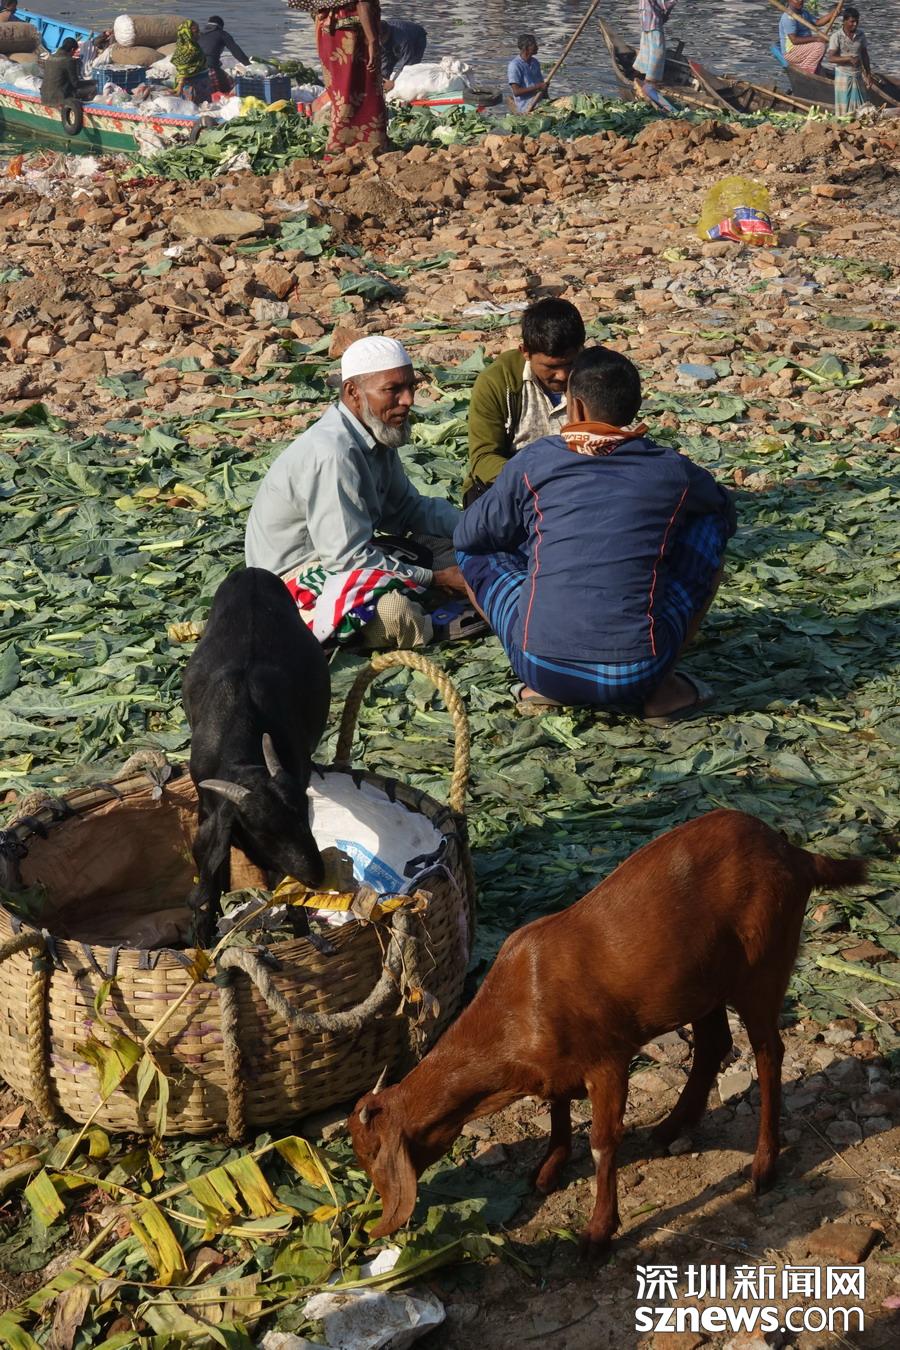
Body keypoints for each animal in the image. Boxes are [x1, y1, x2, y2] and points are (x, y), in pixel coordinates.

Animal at [182, 567, 331, 944]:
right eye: (263, 833)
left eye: (303, 814)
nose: (316, 875)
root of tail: (251, 571)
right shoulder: (208, 808)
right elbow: (212, 878)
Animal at [349, 810, 866, 1252]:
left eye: (371, 1155)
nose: (373, 1222)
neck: (517, 1010)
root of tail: (796, 855)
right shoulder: (555, 1068)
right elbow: (557, 1110)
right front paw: (549, 1169)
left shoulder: (608, 1061)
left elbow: (602, 1142)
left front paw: (599, 1231)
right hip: (700, 983)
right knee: (714, 1043)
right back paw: (671, 1127)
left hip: (763, 964)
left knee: (767, 1052)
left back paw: (762, 1166)